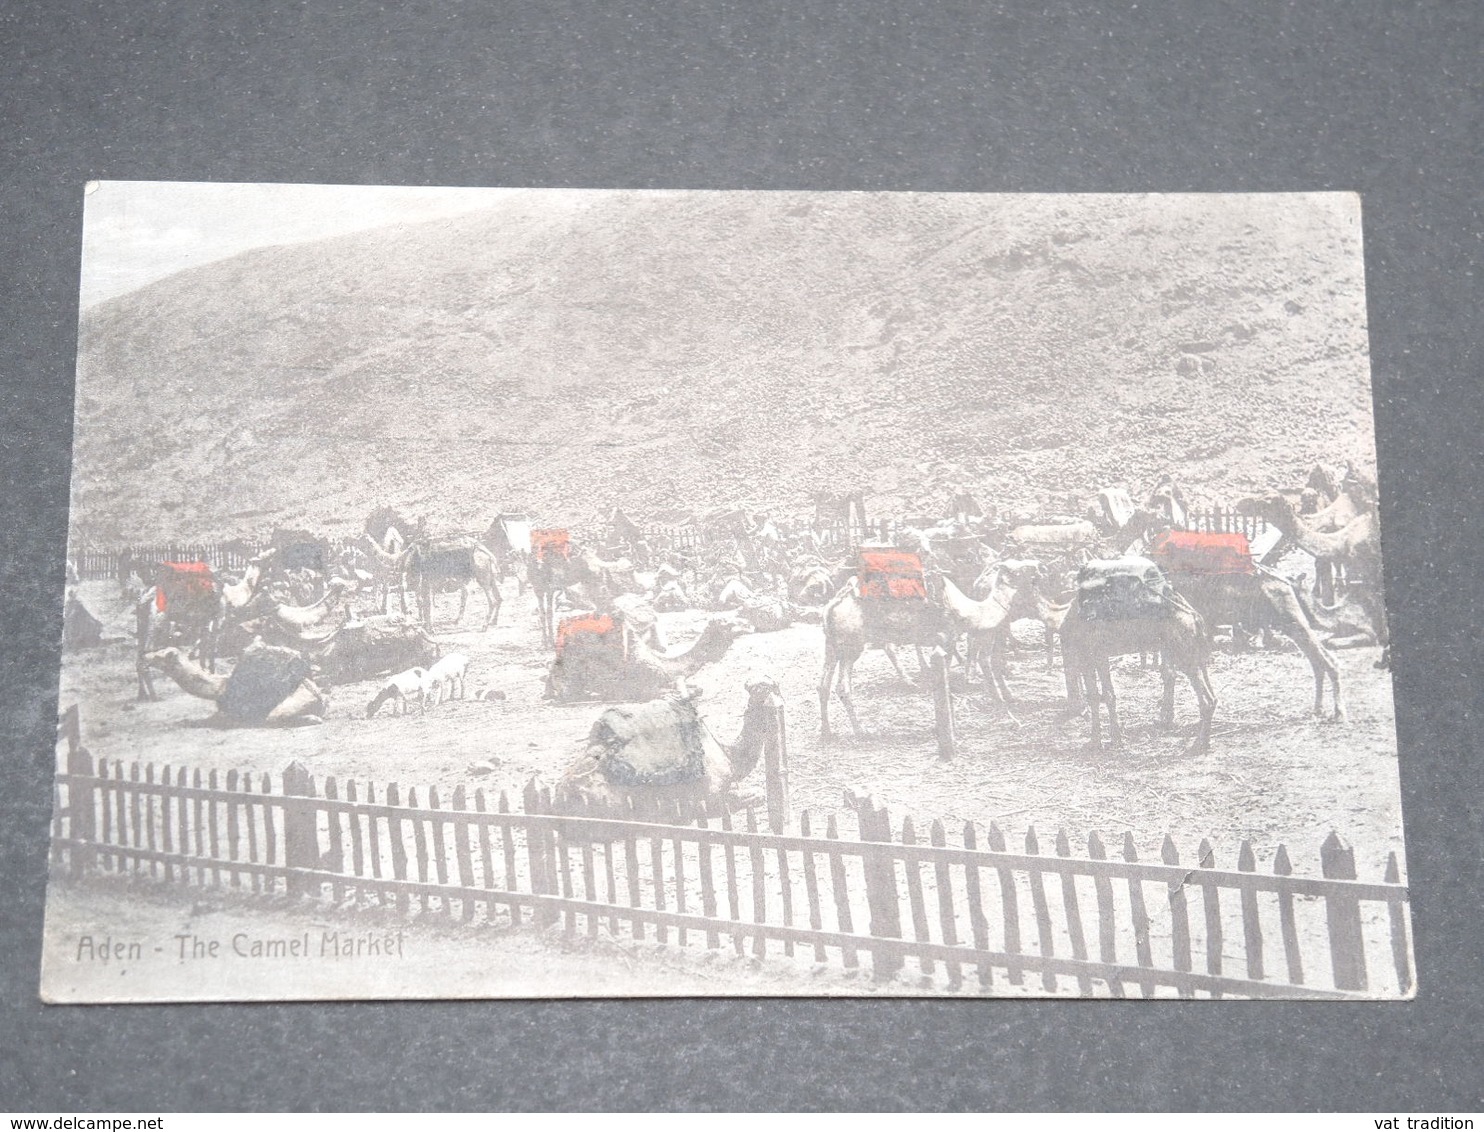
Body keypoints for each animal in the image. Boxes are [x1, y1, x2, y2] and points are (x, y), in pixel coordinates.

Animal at [141, 646, 327, 726]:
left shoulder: (231, 711)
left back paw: (311, 719)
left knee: (273, 718)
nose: (145, 657)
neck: (220, 687)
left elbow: (216, 718)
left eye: (159, 656)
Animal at [546, 620, 747, 700]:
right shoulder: (646, 684)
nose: (748, 626)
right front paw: (674, 694)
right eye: (729, 624)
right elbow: (656, 692)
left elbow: (696, 688)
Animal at [1068, 554, 1216, 756]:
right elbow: (1101, 696)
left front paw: (1105, 741)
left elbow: (1102, 696)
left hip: (1184, 655)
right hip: (1189, 653)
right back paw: (1203, 741)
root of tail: (1194, 616)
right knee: (1209, 696)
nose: (1088, 614)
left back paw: (1197, 745)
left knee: (1206, 700)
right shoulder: (1093, 657)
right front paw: (1106, 741)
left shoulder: (1094, 655)